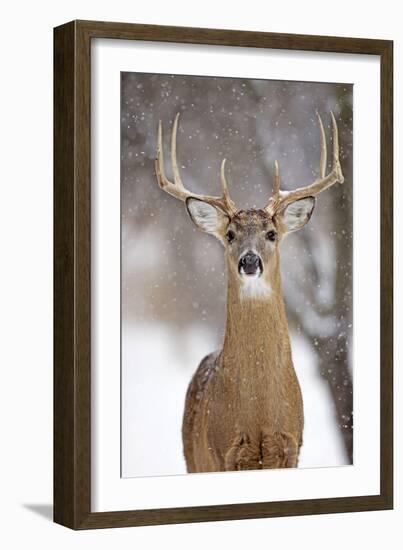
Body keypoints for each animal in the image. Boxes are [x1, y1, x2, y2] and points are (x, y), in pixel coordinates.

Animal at [155, 112, 344, 474]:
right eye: (230, 234)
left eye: (271, 233)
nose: (250, 261)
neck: (259, 412)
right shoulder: (224, 454)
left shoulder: (290, 448)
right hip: (192, 459)